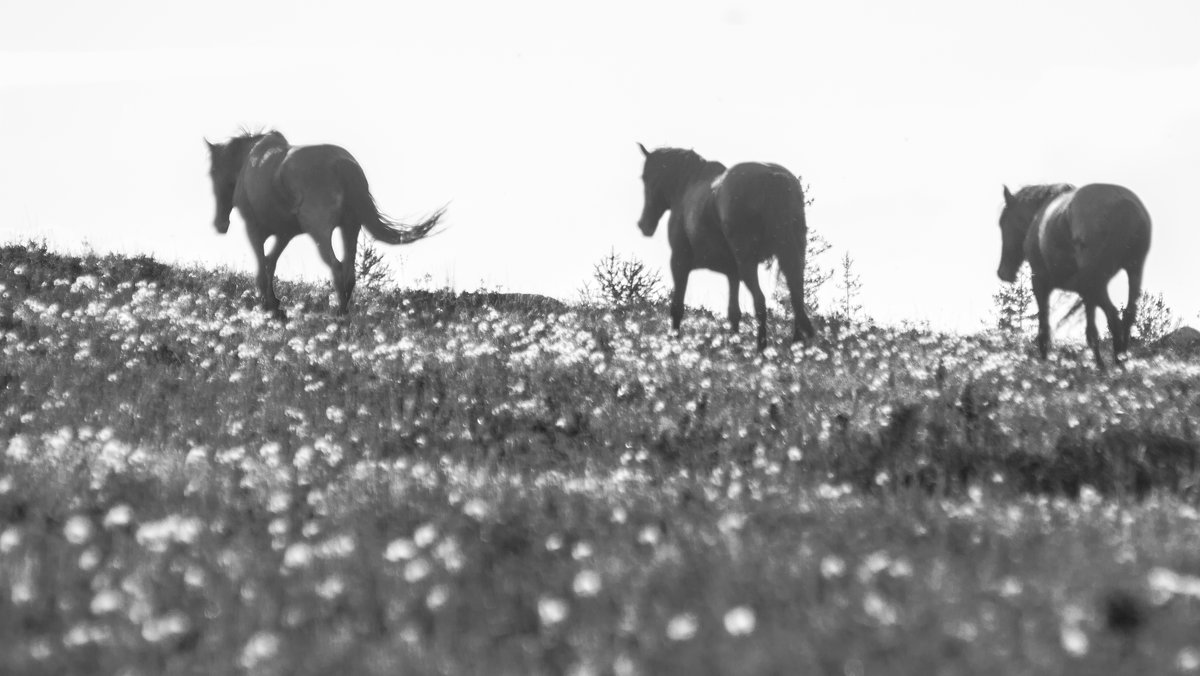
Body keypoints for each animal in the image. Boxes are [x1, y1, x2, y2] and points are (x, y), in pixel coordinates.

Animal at [204, 132, 444, 316]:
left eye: (213, 172)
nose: (220, 224)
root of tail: (343, 163)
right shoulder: (285, 233)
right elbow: (271, 262)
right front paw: (275, 305)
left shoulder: (254, 229)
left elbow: (262, 266)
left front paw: (269, 305)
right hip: (351, 228)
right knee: (349, 271)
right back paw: (344, 312)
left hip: (320, 232)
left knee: (336, 267)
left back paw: (339, 314)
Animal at [638, 145, 816, 353]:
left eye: (646, 177)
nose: (644, 225)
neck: (688, 187)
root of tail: (774, 177)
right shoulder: (733, 273)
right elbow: (734, 313)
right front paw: (734, 347)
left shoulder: (679, 262)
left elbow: (677, 307)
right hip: (792, 257)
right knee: (797, 299)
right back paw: (796, 346)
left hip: (748, 264)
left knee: (761, 302)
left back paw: (761, 349)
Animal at [993, 182, 1152, 367]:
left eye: (1003, 222)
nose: (1003, 272)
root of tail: (1123, 205)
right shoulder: (1086, 292)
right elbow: (1092, 328)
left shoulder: (1040, 282)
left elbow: (1044, 330)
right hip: (1132, 270)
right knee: (1127, 314)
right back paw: (1121, 359)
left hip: (1097, 281)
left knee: (1112, 317)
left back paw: (1116, 361)